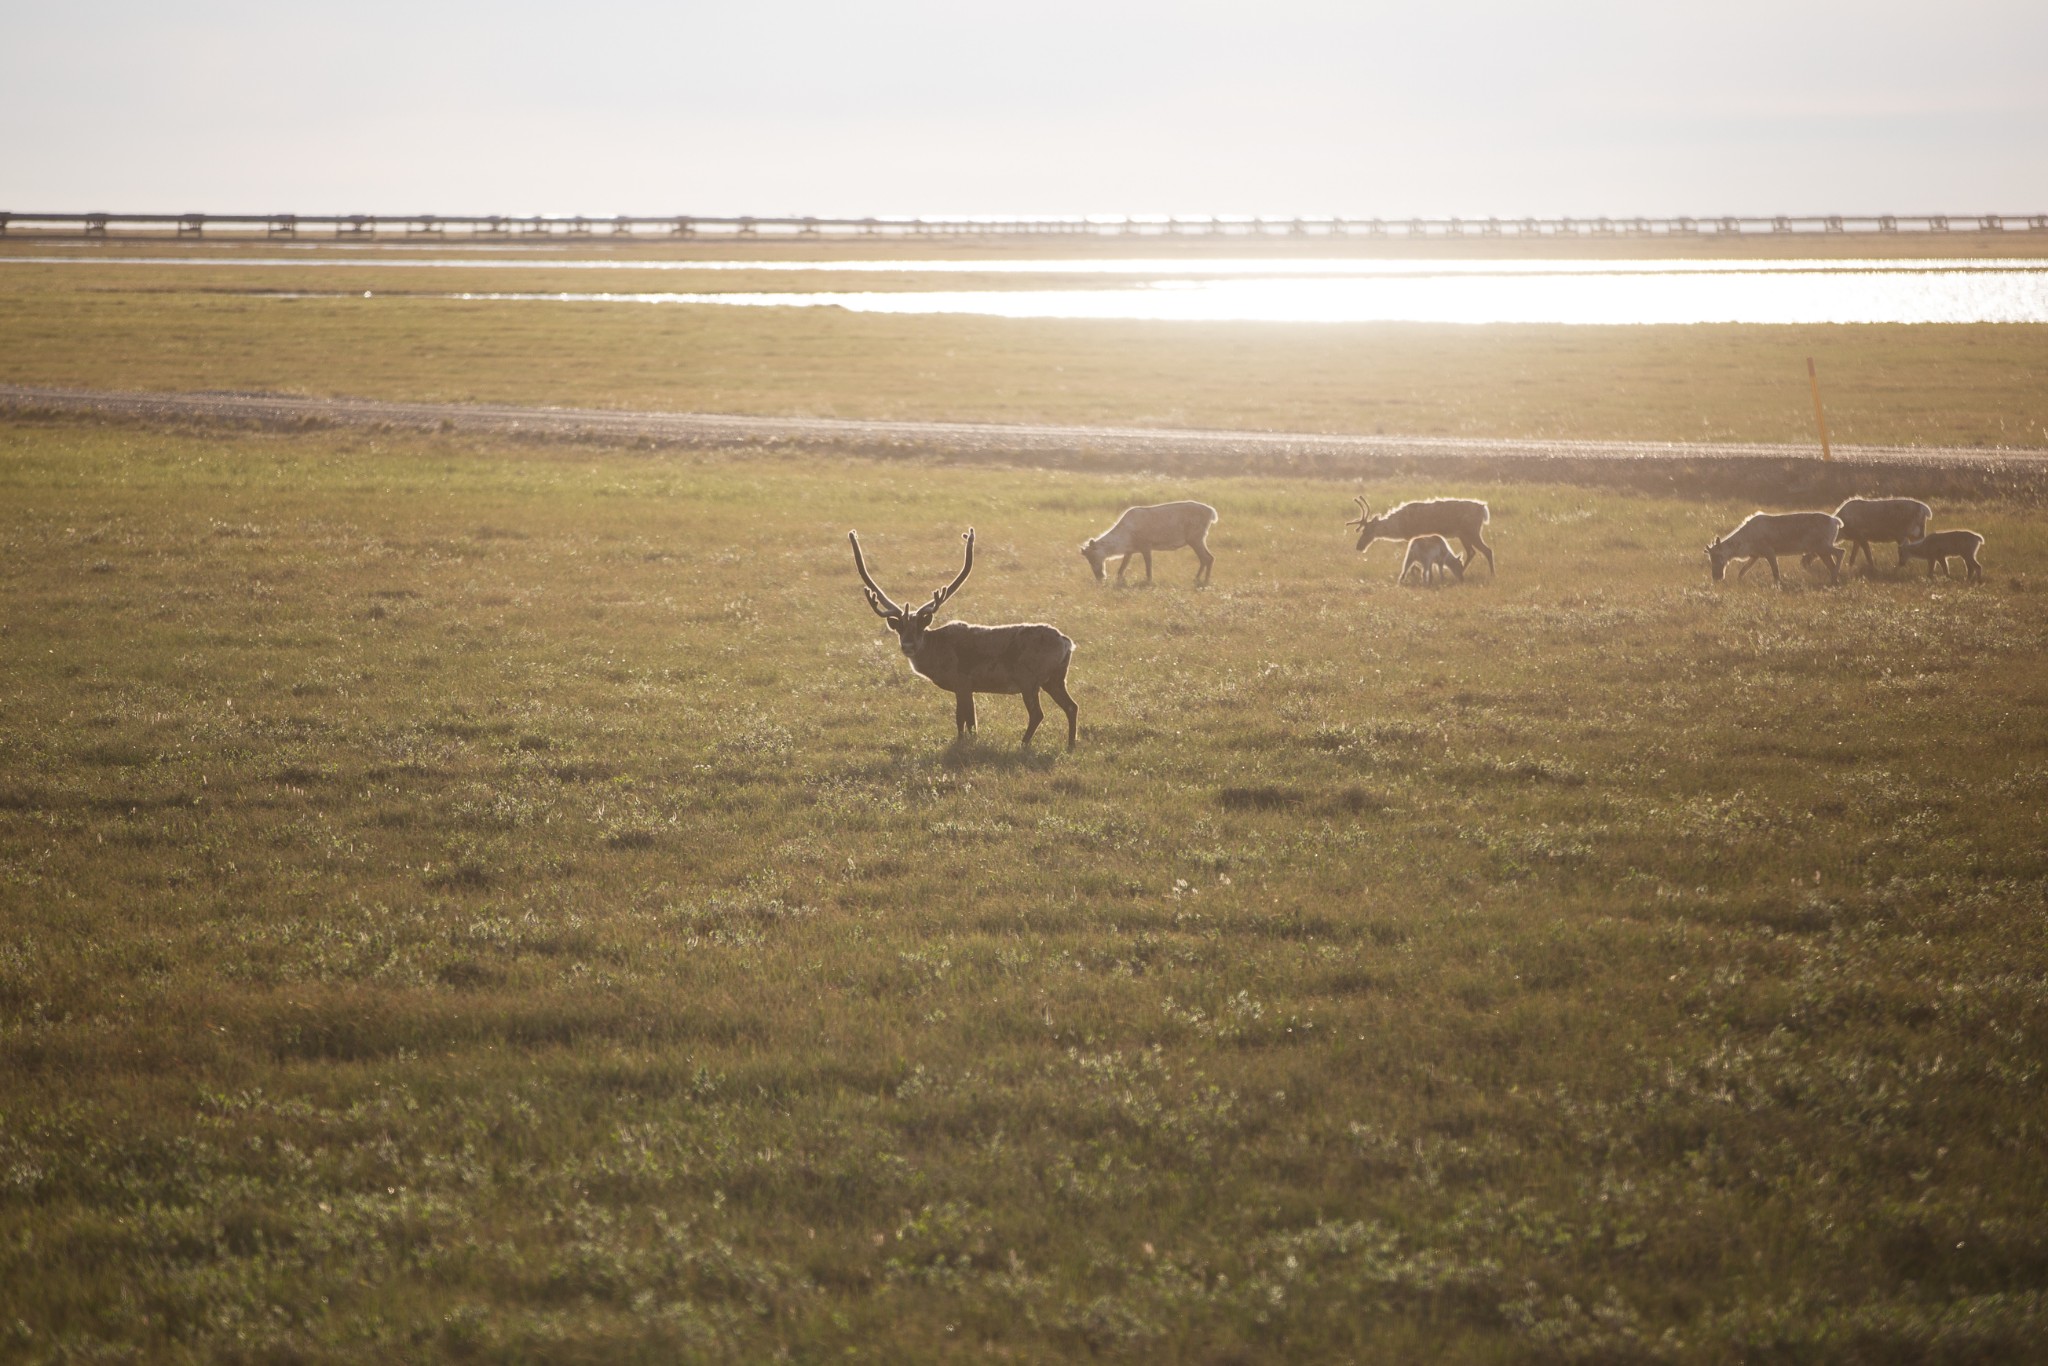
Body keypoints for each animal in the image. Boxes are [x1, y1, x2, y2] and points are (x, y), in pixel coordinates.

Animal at [847, 528, 1081, 753]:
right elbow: (972, 721)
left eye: (920, 627)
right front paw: (971, 741)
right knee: (1072, 706)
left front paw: (961, 743)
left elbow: (961, 718)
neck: (936, 653)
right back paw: (1070, 744)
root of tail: (1067, 642)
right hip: (1055, 679)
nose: (908, 646)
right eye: (900, 629)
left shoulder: (961, 682)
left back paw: (1023, 744)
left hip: (1029, 679)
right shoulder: (970, 687)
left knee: (1038, 713)